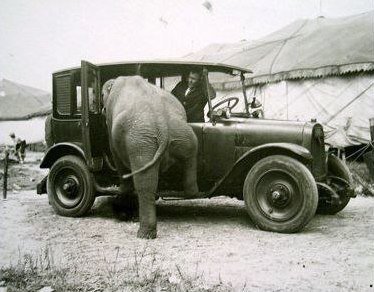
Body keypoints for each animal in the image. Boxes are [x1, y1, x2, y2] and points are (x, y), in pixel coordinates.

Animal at [101, 76, 200, 240]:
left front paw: (123, 190)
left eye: (102, 95)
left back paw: (144, 234)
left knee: (144, 183)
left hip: (140, 141)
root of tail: (162, 123)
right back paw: (191, 192)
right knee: (190, 154)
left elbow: (114, 151)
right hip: (181, 131)